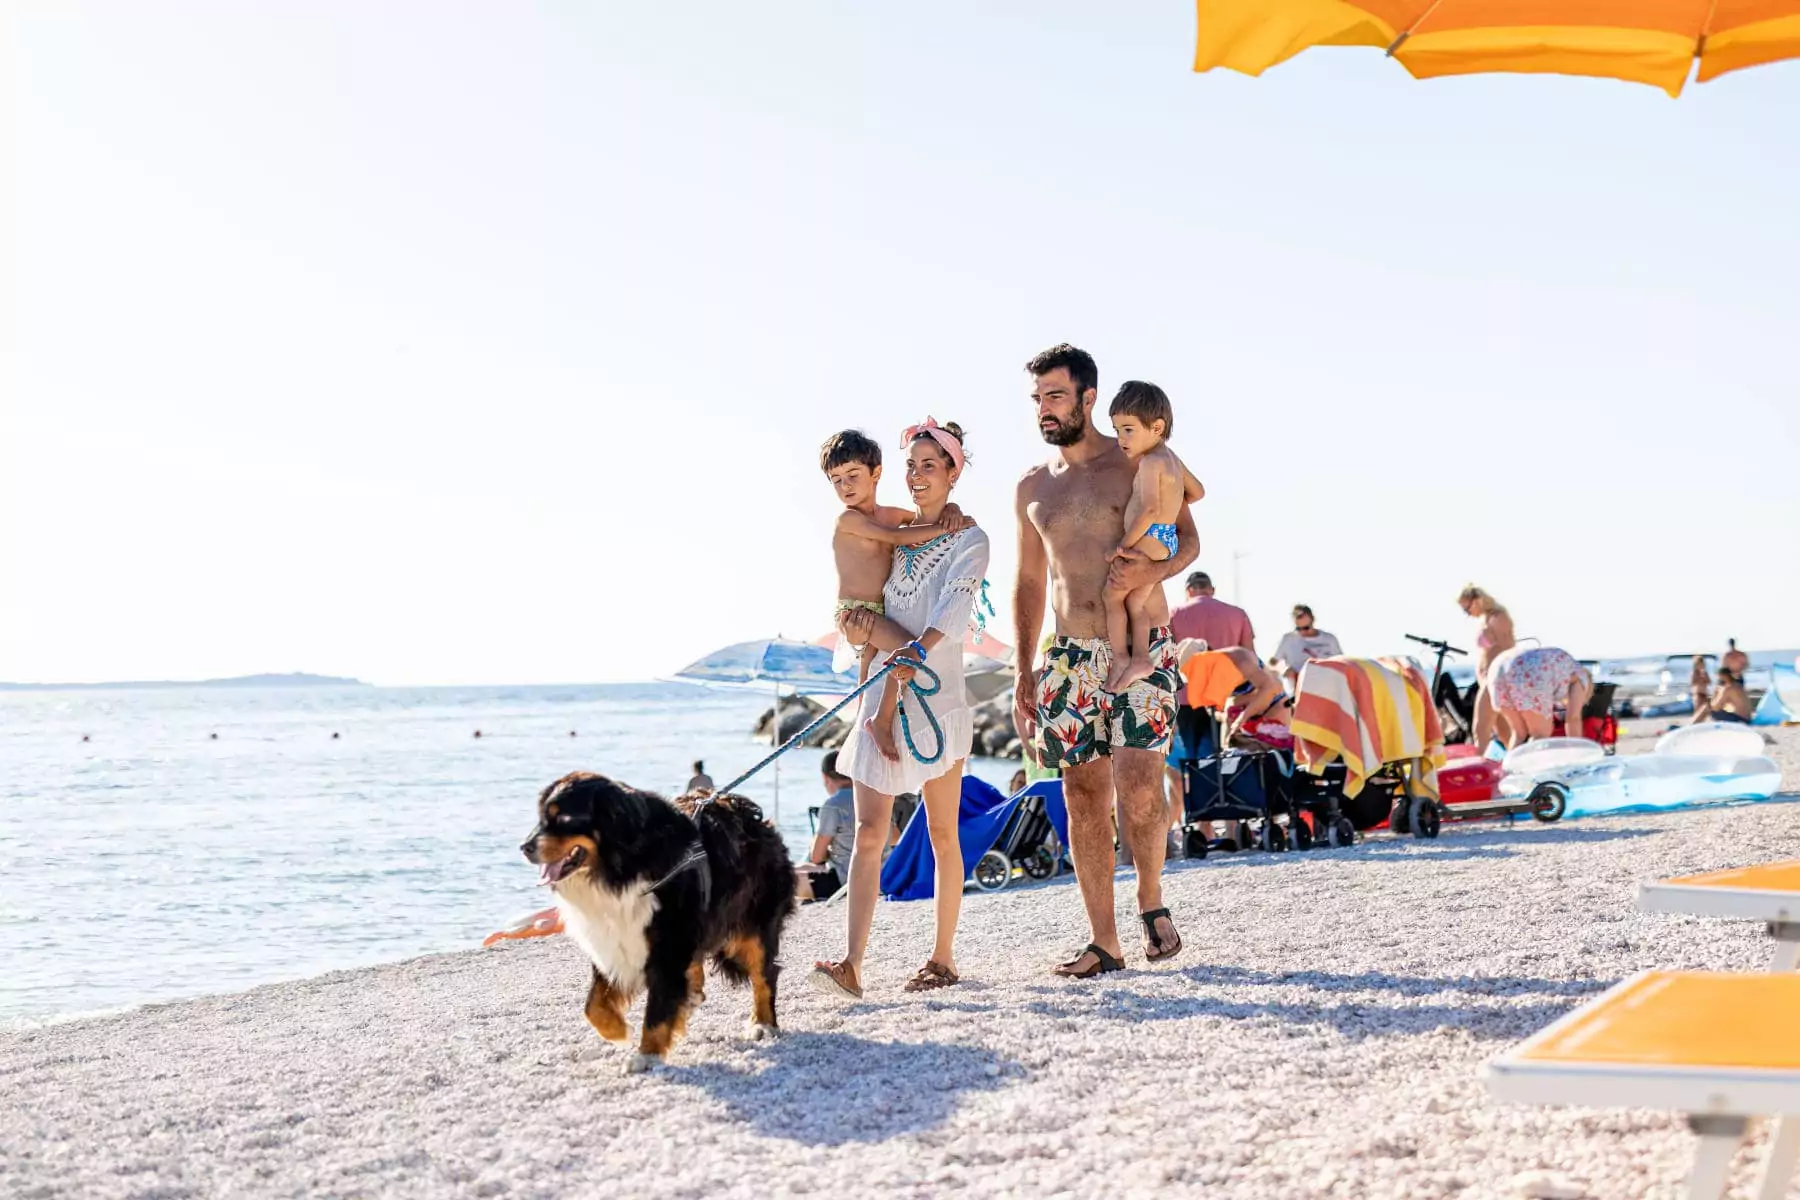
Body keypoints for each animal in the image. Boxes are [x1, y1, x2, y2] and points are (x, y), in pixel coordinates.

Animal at [522, 773, 802, 1072]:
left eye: (564, 818)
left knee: (764, 974)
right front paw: (619, 1032)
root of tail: (758, 820)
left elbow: (657, 1008)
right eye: (541, 818)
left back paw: (762, 1023)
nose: (525, 847)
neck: (620, 868)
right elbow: (593, 1004)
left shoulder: (667, 945)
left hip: (755, 925)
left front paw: (646, 1054)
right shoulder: (613, 938)